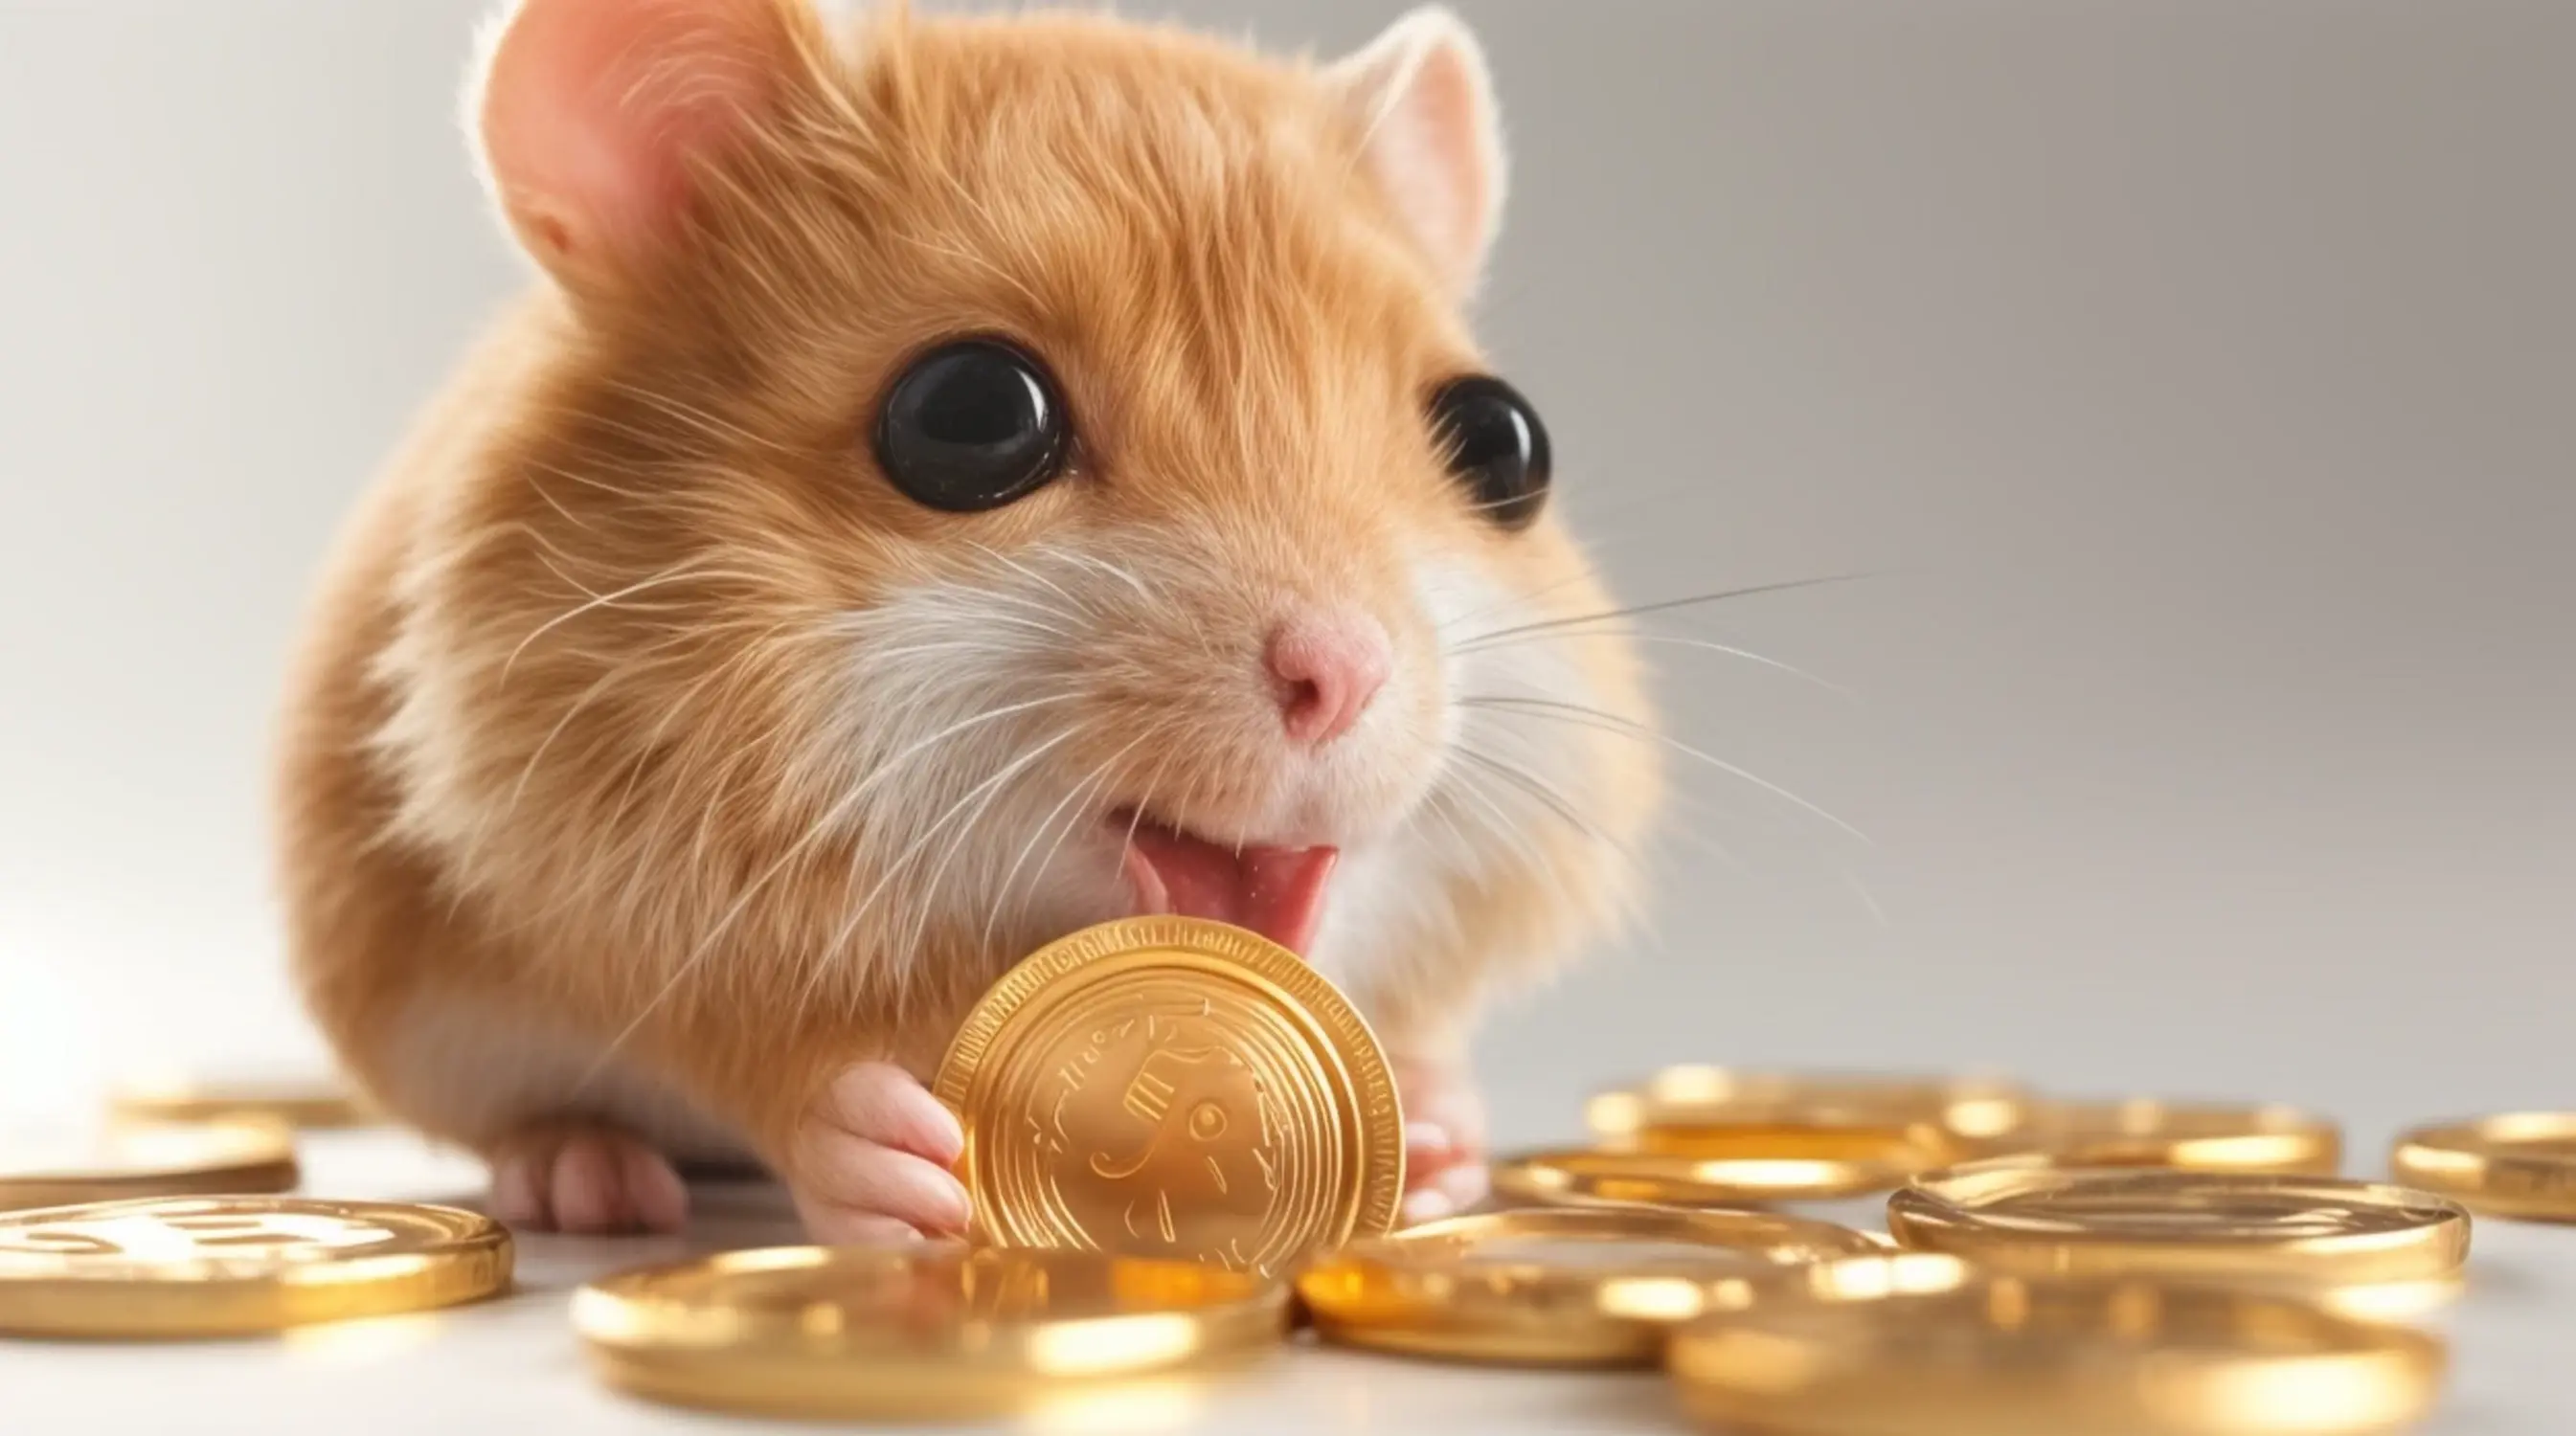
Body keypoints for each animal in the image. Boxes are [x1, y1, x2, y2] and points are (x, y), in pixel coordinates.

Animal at [275, 0, 1659, 1240]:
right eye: (970, 415)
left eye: (1503, 441)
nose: (1344, 675)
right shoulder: (608, 881)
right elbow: (774, 1057)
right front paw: (913, 1165)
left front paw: (1432, 1137)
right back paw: (585, 1178)